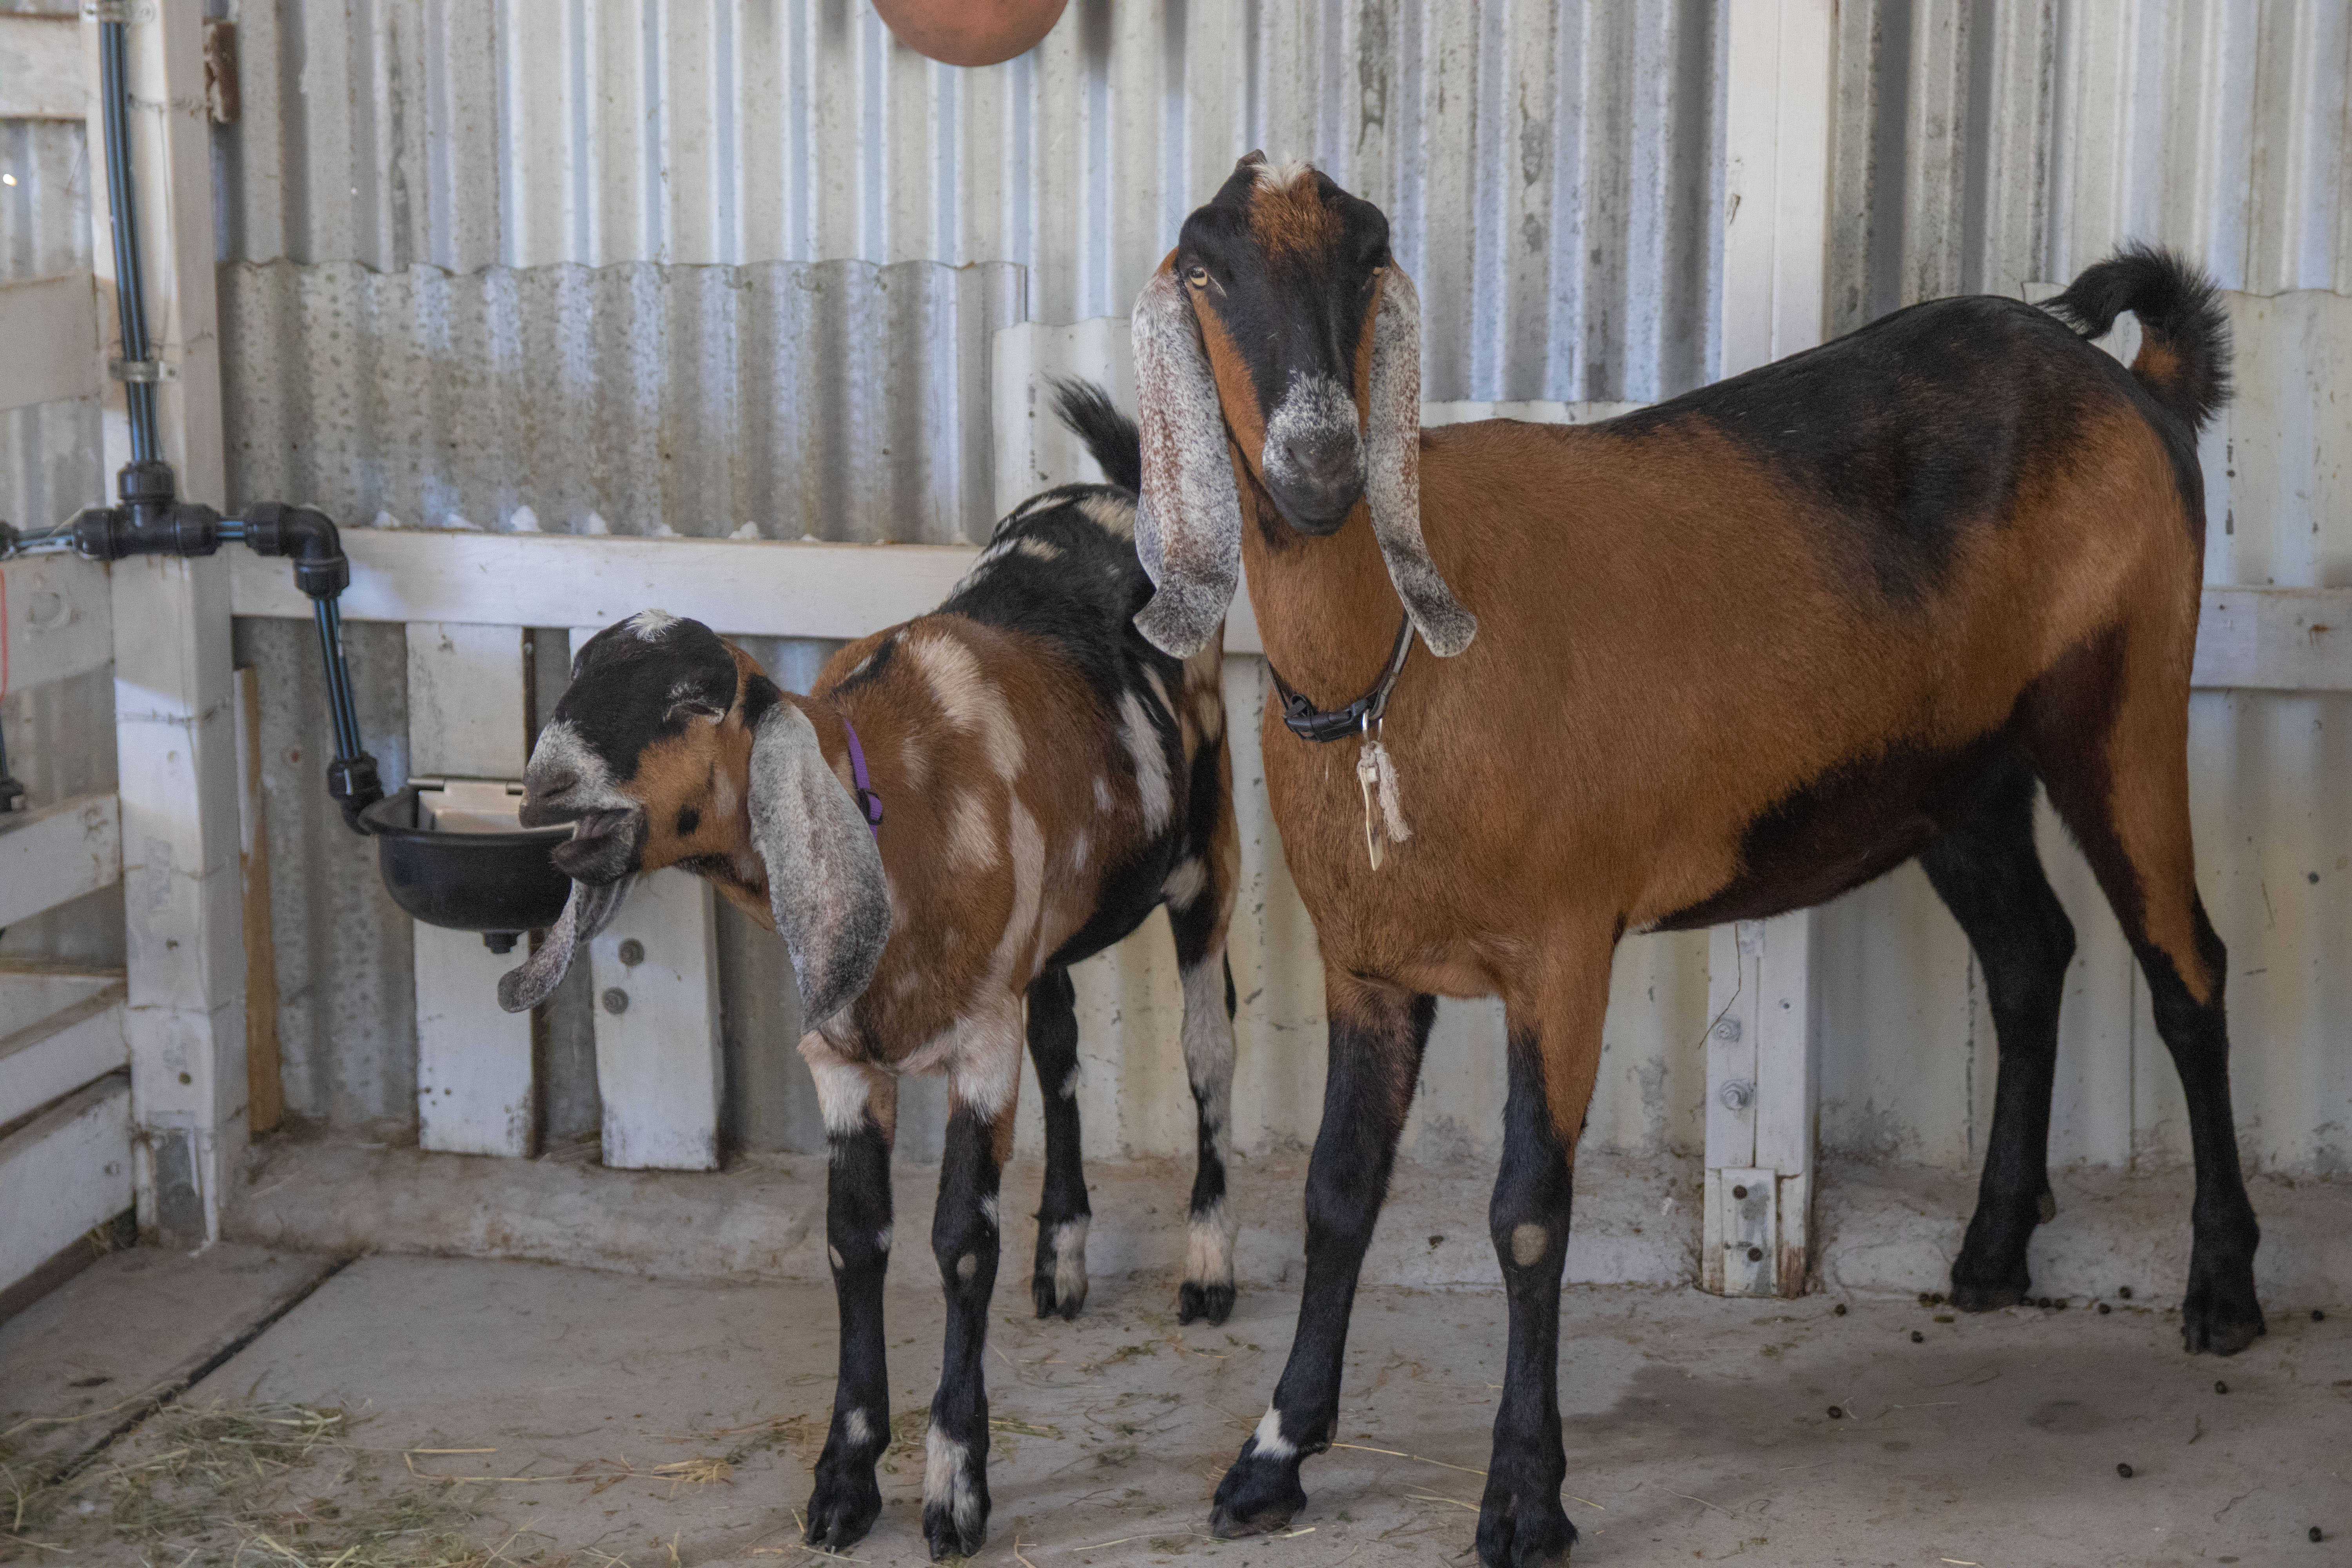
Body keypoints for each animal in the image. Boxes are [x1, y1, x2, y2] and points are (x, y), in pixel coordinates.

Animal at [501, 385, 1251, 1561]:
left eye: (692, 699)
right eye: (575, 678)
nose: (547, 791)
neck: (891, 811)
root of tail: (1115, 487)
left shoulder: (978, 1049)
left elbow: (957, 1244)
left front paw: (955, 1487)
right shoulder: (847, 1061)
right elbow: (856, 1244)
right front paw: (847, 1477)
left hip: (1209, 853)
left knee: (1208, 1050)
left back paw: (1209, 1264)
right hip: (1050, 938)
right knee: (1066, 1059)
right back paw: (1064, 1259)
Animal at [1138, 152, 2258, 1561]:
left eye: (1371, 253)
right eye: (1204, 267)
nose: (1321, 460)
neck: (1388, 676)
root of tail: (2139, 387)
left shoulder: (1562, 951)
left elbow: (1526, 1215)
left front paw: (1524, 1497)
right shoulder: (1367, 963)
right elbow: (1338, 1198)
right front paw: (1273, 1456)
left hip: (2122, 695)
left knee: (2187, 969)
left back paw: (2224, 1288)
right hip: (1961, 773)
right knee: (2030, 959)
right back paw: (1994, 1255)